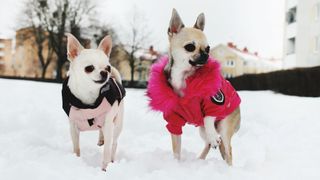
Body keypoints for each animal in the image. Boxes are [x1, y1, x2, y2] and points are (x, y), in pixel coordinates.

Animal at [61, 33, 125, 170]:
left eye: (108, 68)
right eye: (89, 68)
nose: (105, 72)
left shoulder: (109, 125)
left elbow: (106, 151)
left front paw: (105, 168)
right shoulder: (73, 127)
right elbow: (76, 147)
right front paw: (76, 159)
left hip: (117, 124)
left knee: (114, 143)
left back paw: (112, 159)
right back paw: (101, 140)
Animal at [148, 9, 240, 165]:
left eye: (208, 48)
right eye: (190, 47)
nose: (206, 55)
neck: (183, 76)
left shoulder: (214, 101)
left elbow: (208, 117)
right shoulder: (173, 121)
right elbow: (176, 147)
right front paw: (175, 164)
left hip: (224, 128)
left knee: (227, 151)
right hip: (202, 131)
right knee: (209, 143)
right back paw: (201, 158)